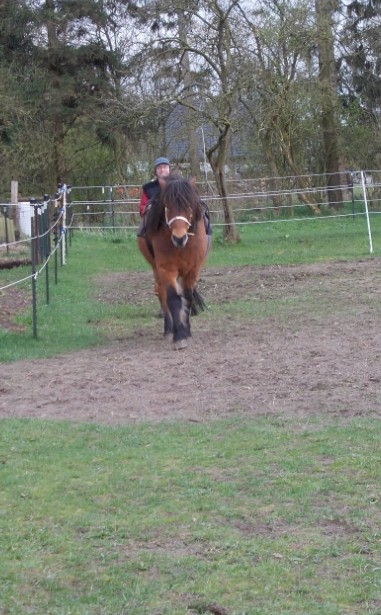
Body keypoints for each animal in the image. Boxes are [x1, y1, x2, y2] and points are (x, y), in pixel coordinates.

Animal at [137, 173, 209, 348]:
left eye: (189, 205)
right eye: (167, 206)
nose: (179, 238)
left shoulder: (192, 270)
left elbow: (187, 298)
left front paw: (187, 331)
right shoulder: (166, 269)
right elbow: (173, 299)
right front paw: (180, 336)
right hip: (156, 268)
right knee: (162, 293)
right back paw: (169, 330)